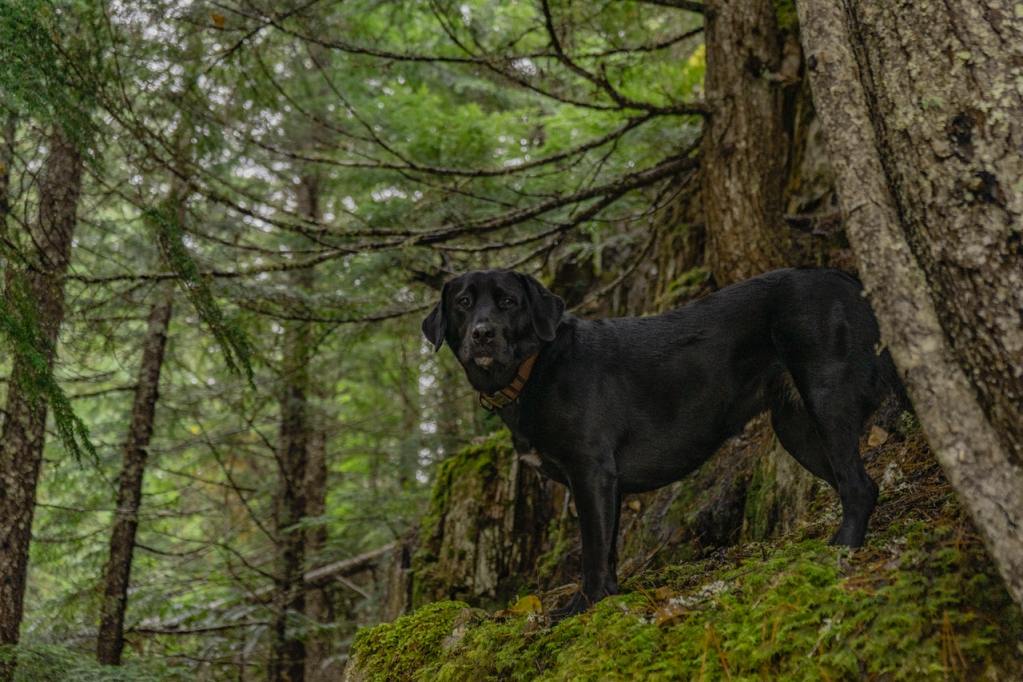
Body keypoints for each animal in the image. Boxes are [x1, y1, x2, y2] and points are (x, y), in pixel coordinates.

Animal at [423, 269, 896, 621]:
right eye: (463, 303)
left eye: (508, 302)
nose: (482, 334)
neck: (534, 367)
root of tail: (845, 278)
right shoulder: (607, 486)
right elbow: (609, 550)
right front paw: (609, 596)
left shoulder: (591, 472)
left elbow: (592, 551)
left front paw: (580, 608)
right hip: (796, 428)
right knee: (859, 485)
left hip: (826, 397)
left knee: (858, 486)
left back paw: (840, 551)